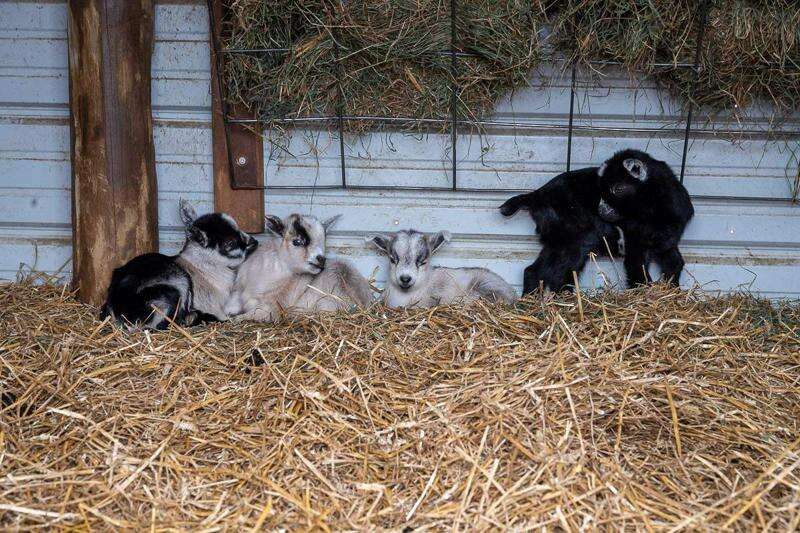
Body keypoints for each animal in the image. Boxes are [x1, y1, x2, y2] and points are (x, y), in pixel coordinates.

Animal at [225, 212, 376, 320]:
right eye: (297, 241)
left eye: (324, 241)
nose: (321, 259)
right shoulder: (238, 292)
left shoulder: (271, 307)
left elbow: (250, 315)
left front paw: (235, 319)